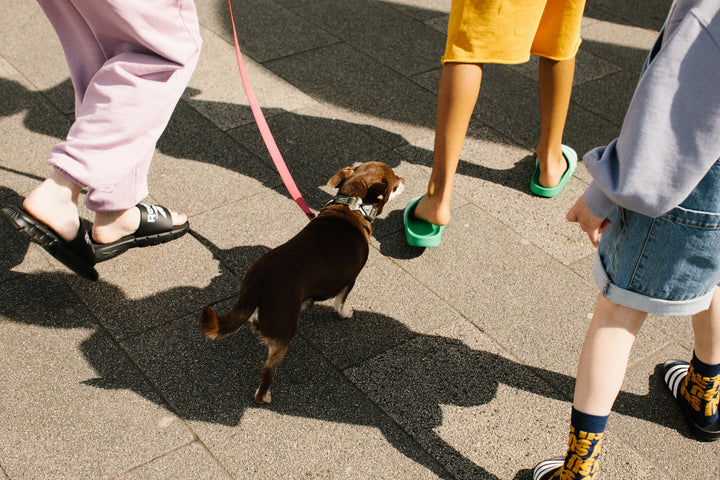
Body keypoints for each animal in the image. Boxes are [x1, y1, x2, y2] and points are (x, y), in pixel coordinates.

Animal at [201, 163, 404, 404]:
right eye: (394, 183)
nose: (404, 179)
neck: (351, 206)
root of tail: (255, 289)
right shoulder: (350, 279)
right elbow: (340, 302)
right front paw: (344, 313)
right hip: (284, 333)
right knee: (267, 371)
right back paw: (264, 396)